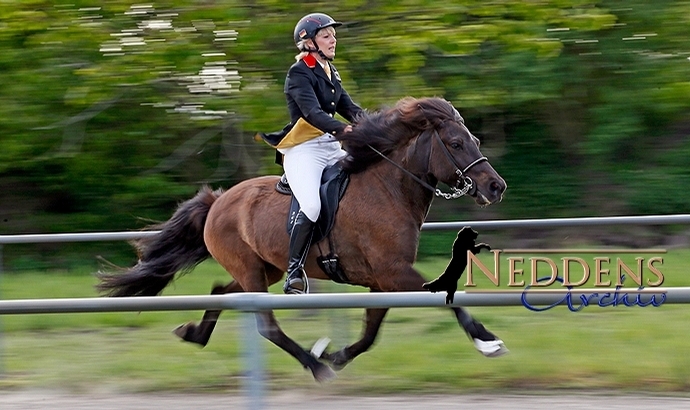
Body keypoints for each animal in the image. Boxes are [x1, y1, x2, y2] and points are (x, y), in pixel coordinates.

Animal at [97, 95, 506, 382]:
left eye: (474, 139)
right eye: (455, 144)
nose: (495, 187)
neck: (389, 189)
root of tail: (218, 202)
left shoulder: (383, 279)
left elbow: (371, 330)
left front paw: (337, 356)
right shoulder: (393, 273)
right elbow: (446, 300)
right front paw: (487, 340)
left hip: (265, 270)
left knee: (221, 292)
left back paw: (195, 333)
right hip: (252, 270)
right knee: (266, 325)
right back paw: (313, 365)